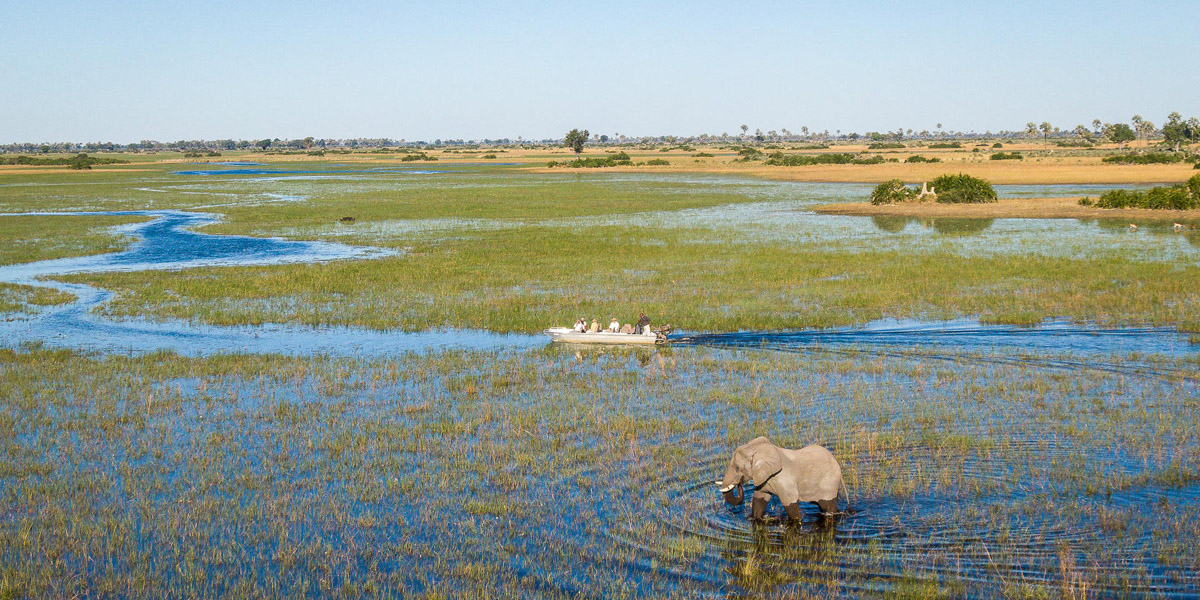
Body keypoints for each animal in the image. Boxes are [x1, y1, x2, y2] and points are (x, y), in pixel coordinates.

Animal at [717, 436, 847, 521]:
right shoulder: (765, 479)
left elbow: (790, 504)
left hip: (829, 481)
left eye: (737, 468)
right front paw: (757, 518)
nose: (739, 484)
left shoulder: (785, 480)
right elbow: (760, 498)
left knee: (827, 505)